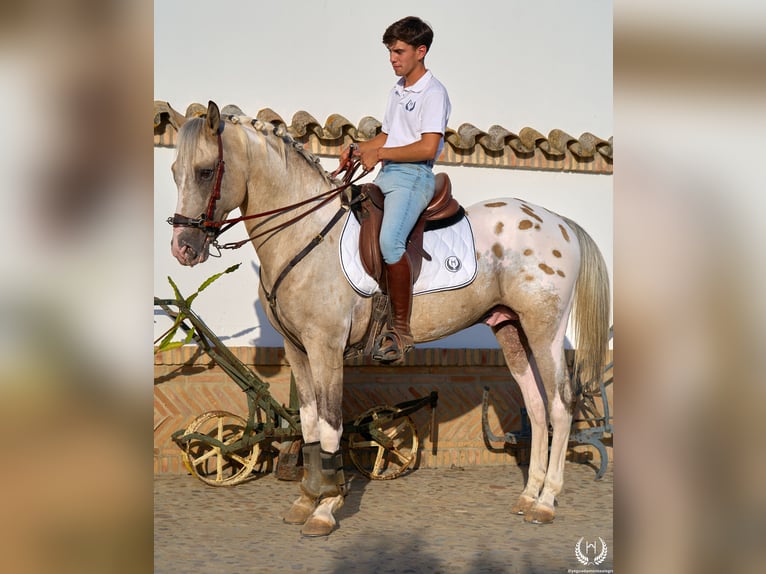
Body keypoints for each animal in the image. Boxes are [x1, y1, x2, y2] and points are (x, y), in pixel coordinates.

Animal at [168, 101, 610, 537]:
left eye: (205, 171)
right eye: (174, 172)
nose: (183, 248)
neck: (305, 234)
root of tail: (558, 222)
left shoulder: (326, 347)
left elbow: (330, 424)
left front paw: (326, 508)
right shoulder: (297, 350)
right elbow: (309, 424)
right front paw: (306, 500)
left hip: (543, 330)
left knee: (560, 406)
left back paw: (547, 502)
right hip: (510, 329)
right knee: (536, 407)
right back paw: (528, 496)